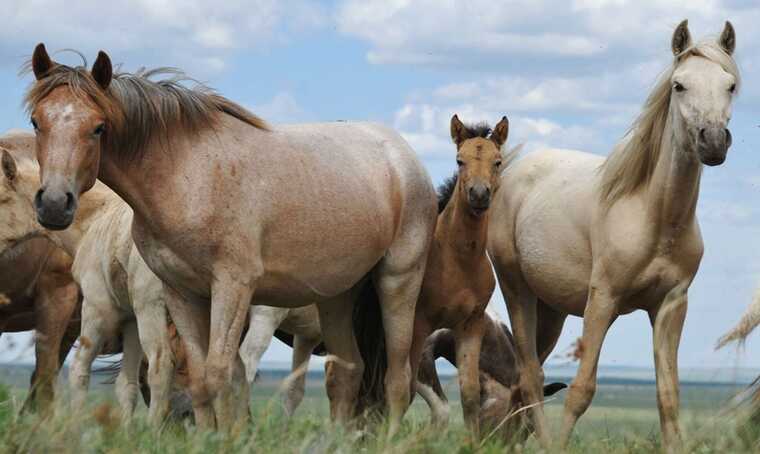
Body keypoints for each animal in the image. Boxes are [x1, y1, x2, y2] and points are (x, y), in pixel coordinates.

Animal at [23, 47, 436, 432]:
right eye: (36, 122)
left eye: (98, 127)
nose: (55, 203)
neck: (184, 174)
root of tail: (404, 157)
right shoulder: (182, 292)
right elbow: (201, 375)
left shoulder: (232, 287)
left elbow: (220, 372)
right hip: (336, 296)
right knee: (347, 372)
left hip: (398, 281)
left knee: (398, 378)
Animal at [486, 18, 744, 450]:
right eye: (679, 85)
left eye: (730, 85)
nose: (712, 141)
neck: (654, 217)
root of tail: (512, 170)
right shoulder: (603, 300)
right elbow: (581, 390)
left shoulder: (670, 306)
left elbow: (668, 396)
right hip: (516, 288)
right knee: (531, 376)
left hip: (551, 308)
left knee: (525, 381)